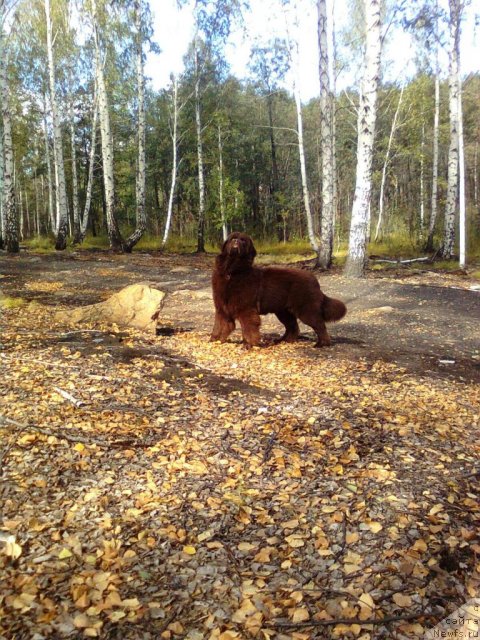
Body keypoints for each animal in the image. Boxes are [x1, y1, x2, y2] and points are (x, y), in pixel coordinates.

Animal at [210, 231, 344, 348]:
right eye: (233, 238)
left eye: (243, 240)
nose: (236, 241)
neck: (232, 271)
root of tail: (314, 279)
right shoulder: (222, 308)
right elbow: (220, 325)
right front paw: (214, 340)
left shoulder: (247, 310)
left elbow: (248, 328)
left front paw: (248, 345)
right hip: (283, 311)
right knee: (293, 327)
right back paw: (283, 340)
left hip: (306, 310)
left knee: (320, 325)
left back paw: (321, 344)